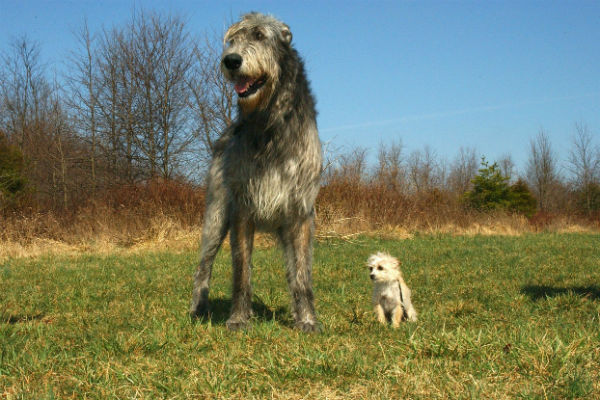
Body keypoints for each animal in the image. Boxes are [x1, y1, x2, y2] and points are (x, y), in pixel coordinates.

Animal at [1, 233, 600, 398]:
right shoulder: (377, 304)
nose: (372, 273)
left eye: (381, 266)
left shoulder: (395, 300)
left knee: (411, 316)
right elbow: (380, 318)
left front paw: (394, 328)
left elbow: (395, 316)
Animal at [191, 11, 324, 332]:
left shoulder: (301, 211)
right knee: (203, 266)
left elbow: (302, 275)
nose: (231, 60)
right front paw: (238, 318)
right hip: (215, 215)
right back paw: (198, 308)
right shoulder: (242, 209)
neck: (269, 122)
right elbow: (242, 271)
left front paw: (307, 319)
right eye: (232, 40)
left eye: (260, 36)